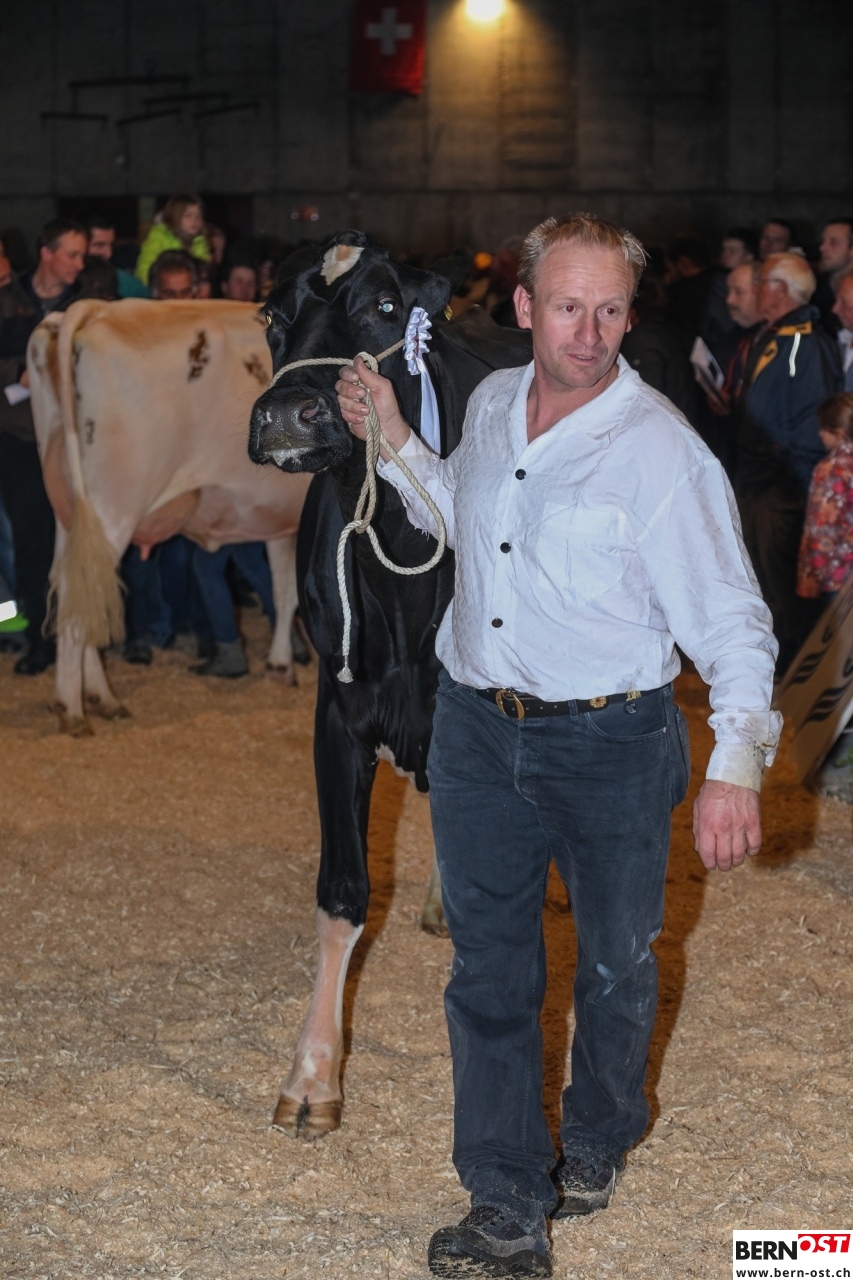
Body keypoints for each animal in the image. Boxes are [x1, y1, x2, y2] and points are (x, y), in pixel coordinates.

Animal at [27, 298, 312, 737]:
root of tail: (95, 310)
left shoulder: (285, 520)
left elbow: (284, 592)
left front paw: (281, 666)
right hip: (113, 507)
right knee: (81, 591)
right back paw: (72, 710)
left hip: (71, 511)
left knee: (79, 588)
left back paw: (103, 698)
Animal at [248, 230, 531, 1137]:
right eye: (272, 316)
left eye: (381, 307)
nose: (286, 414)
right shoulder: (338, 712)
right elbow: (342, 892)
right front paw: (312, 1077)